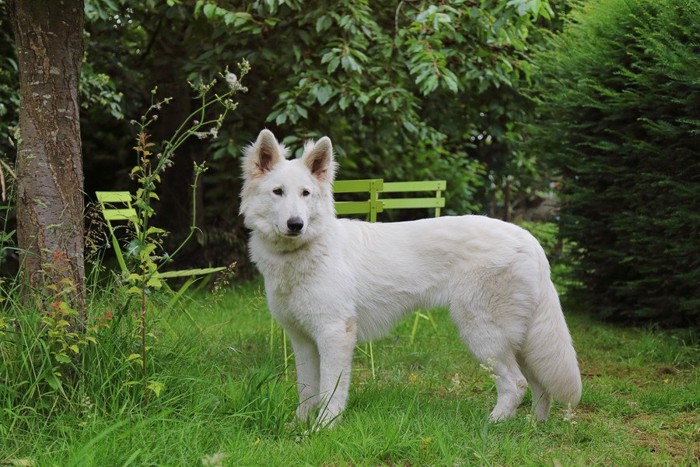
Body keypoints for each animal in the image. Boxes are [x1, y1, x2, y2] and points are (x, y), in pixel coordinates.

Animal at [239, 130, 580, 430]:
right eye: (278, 192)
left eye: (305, 193)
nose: (296, 224)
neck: (304, 251)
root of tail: (529, 239)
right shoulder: (303, 340)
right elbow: (307, 391)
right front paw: (298, 425)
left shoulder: (334, 335)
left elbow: (330, 392)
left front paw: (323, 428)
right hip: (520, 342)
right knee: (540, 385)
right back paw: (534, 427)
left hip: (484, 335)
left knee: (516, 383)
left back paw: (492, 425)